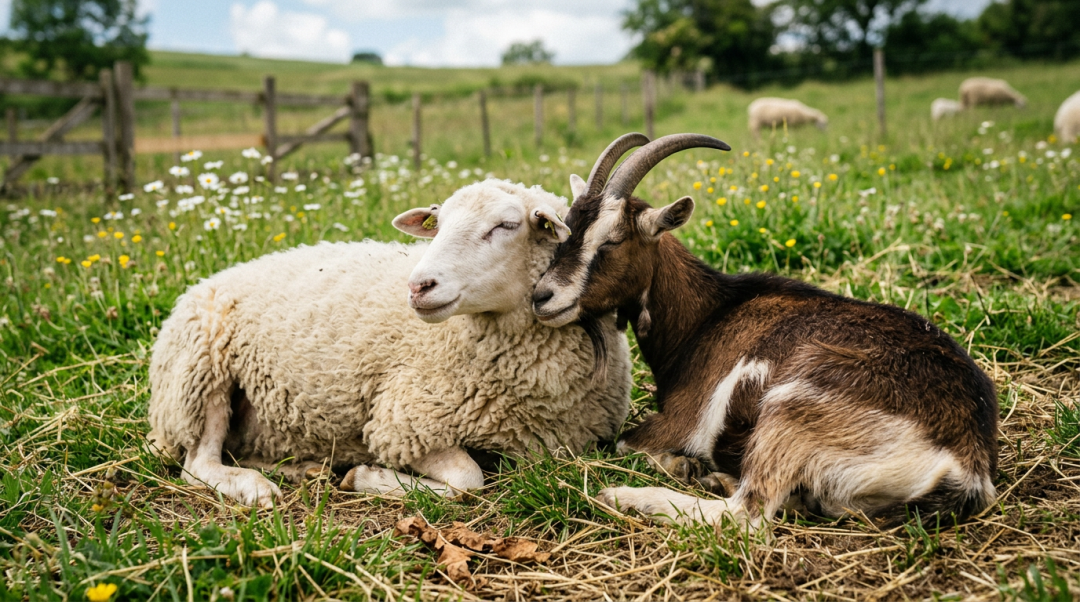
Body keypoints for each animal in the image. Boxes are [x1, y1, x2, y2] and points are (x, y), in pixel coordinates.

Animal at [148, 179, 632, 508]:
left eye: (507, 225)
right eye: (439, 223)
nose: (418, 286)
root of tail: (204, 282)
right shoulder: (403, 421)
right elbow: (467, 481)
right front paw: (366, 477)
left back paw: (304, 468)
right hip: (200, 373)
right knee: (198, 463)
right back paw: (255, 486)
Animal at [532, 133, 998, 531]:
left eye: (611, 241)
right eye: (564, 229)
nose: (541, 296)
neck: (708, 316)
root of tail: (966, 463)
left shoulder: (682, 421)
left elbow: (624, 443)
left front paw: (679, 465)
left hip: (792, 409)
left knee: (746, 513)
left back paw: (629, 495)